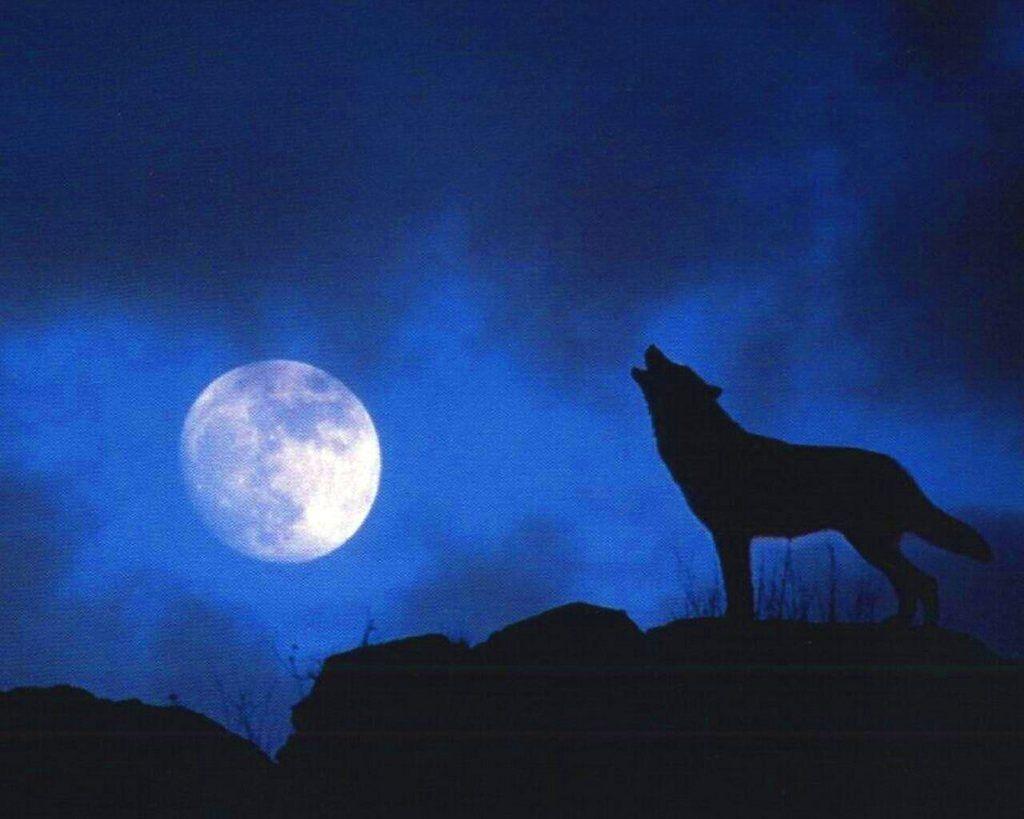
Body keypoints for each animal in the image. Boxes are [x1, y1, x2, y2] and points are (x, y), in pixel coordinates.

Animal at [632, 345, 992, 624]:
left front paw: (736, 619)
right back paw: (899, 623)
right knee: (913, 583)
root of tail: (899, 468)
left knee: (923, 581)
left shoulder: (730, 533)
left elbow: (739, 587)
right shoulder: (732, 534)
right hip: (871, 543)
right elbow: (741, 586)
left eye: (674, 367)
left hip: (868, 542)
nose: (652, 346)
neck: (700, 442)